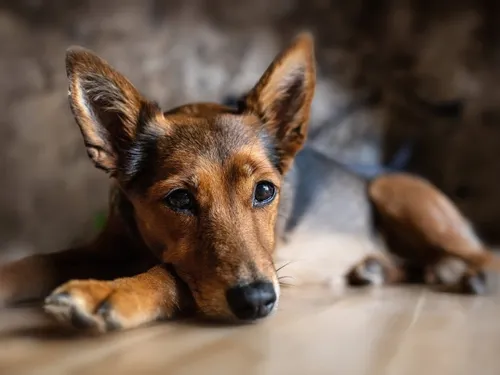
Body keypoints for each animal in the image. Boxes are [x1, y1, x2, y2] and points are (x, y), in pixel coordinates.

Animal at [0, 34, 498, 334]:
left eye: (265, 191)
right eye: (178, 199)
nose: (258, 301)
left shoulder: (264, 264)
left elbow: (171, 273)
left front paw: (113, 291)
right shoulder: (102, 248)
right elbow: (37, 260)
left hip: (394, 191)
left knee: (479, 252)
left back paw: (472, 274)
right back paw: (376, 270)